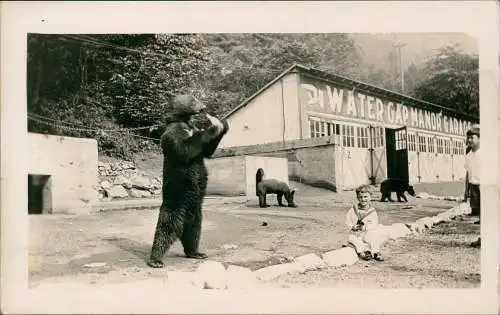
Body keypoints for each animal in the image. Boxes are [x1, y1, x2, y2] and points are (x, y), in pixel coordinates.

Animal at [146, 94, 229, 270]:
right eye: (194, 100)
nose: (204, 107)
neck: (185, 122)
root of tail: (182, 224)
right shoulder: (173, 133)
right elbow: (186, 148)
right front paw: (214, 125)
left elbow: (207, 152)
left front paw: (223, 123)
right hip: (175, 206)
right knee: (164, 230)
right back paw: (155, 260)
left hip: (196, 213)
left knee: (194, 233)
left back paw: (196, 252)